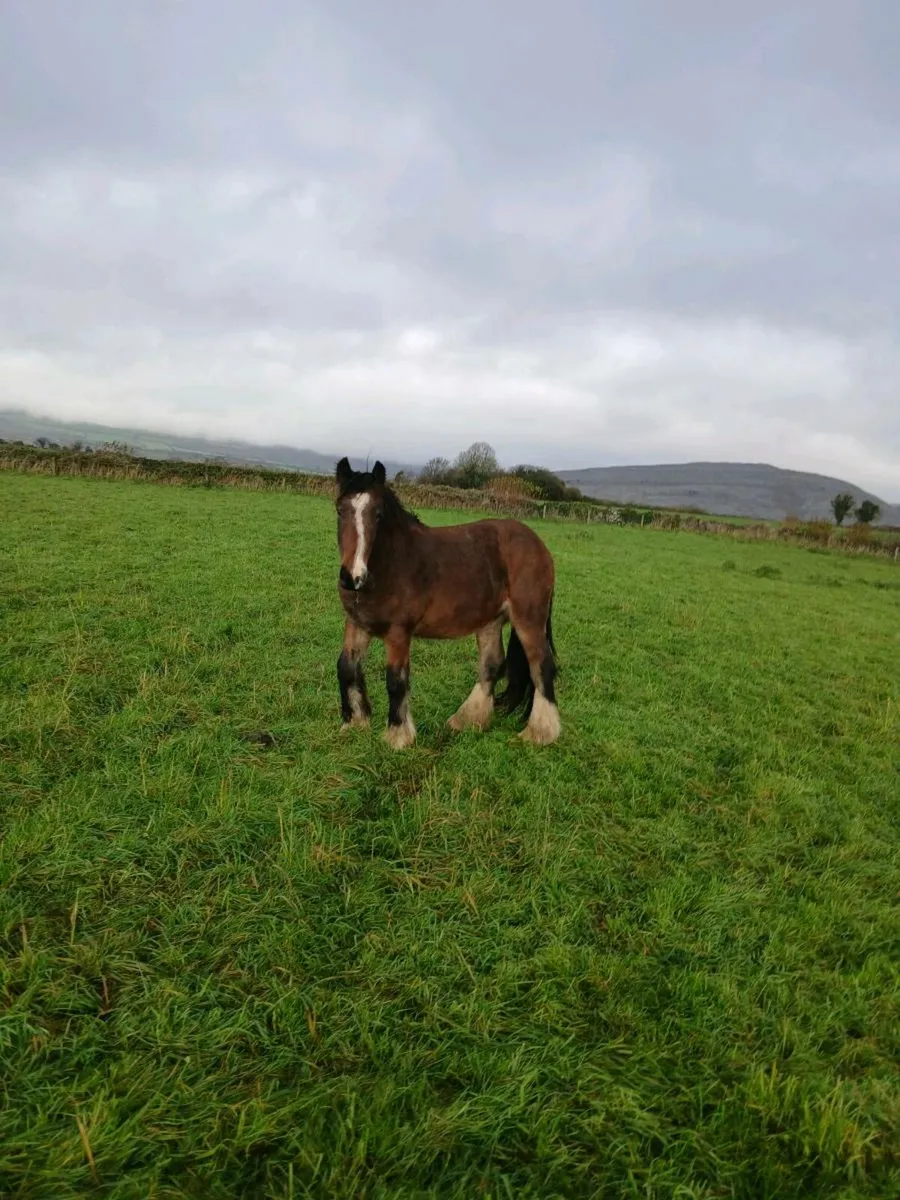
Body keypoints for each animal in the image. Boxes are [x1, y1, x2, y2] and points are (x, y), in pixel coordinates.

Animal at [334, 457, 560, 749]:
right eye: (340, 510)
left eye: (378, 513)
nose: (353, 576)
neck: (389, 566)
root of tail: (539, 545)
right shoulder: (357, 624)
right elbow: (346, 668)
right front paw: (354, 723)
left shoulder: (398, 633)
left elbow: (396, 680)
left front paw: (398, 736)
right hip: (490, 620)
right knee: (492, 664)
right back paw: (468, 720)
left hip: (528, 620)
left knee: (541, 666)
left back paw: (540, 733)